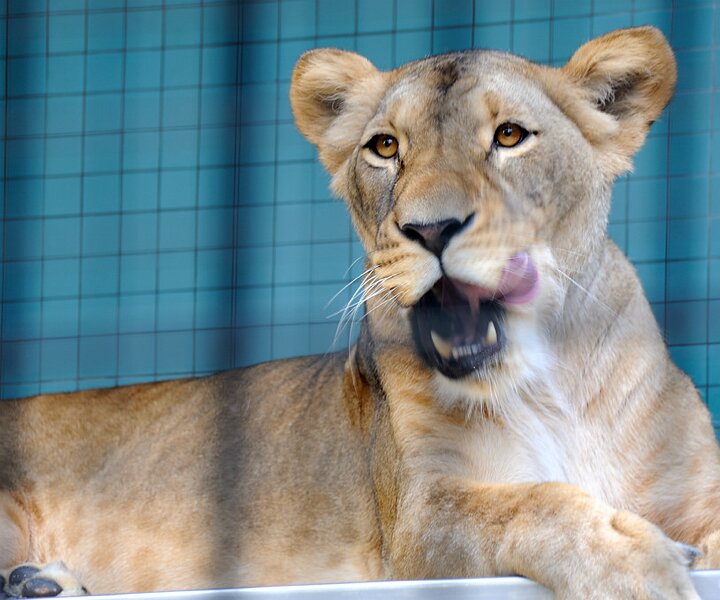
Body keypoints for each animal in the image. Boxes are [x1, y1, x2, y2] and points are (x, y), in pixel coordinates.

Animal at [0, 26, 718, 600]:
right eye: (385, 147)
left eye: (509, 136)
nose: (430, 229)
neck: (548, 385)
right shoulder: (419, 518)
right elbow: (534, 503)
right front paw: (636, 565)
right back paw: (36, 580)